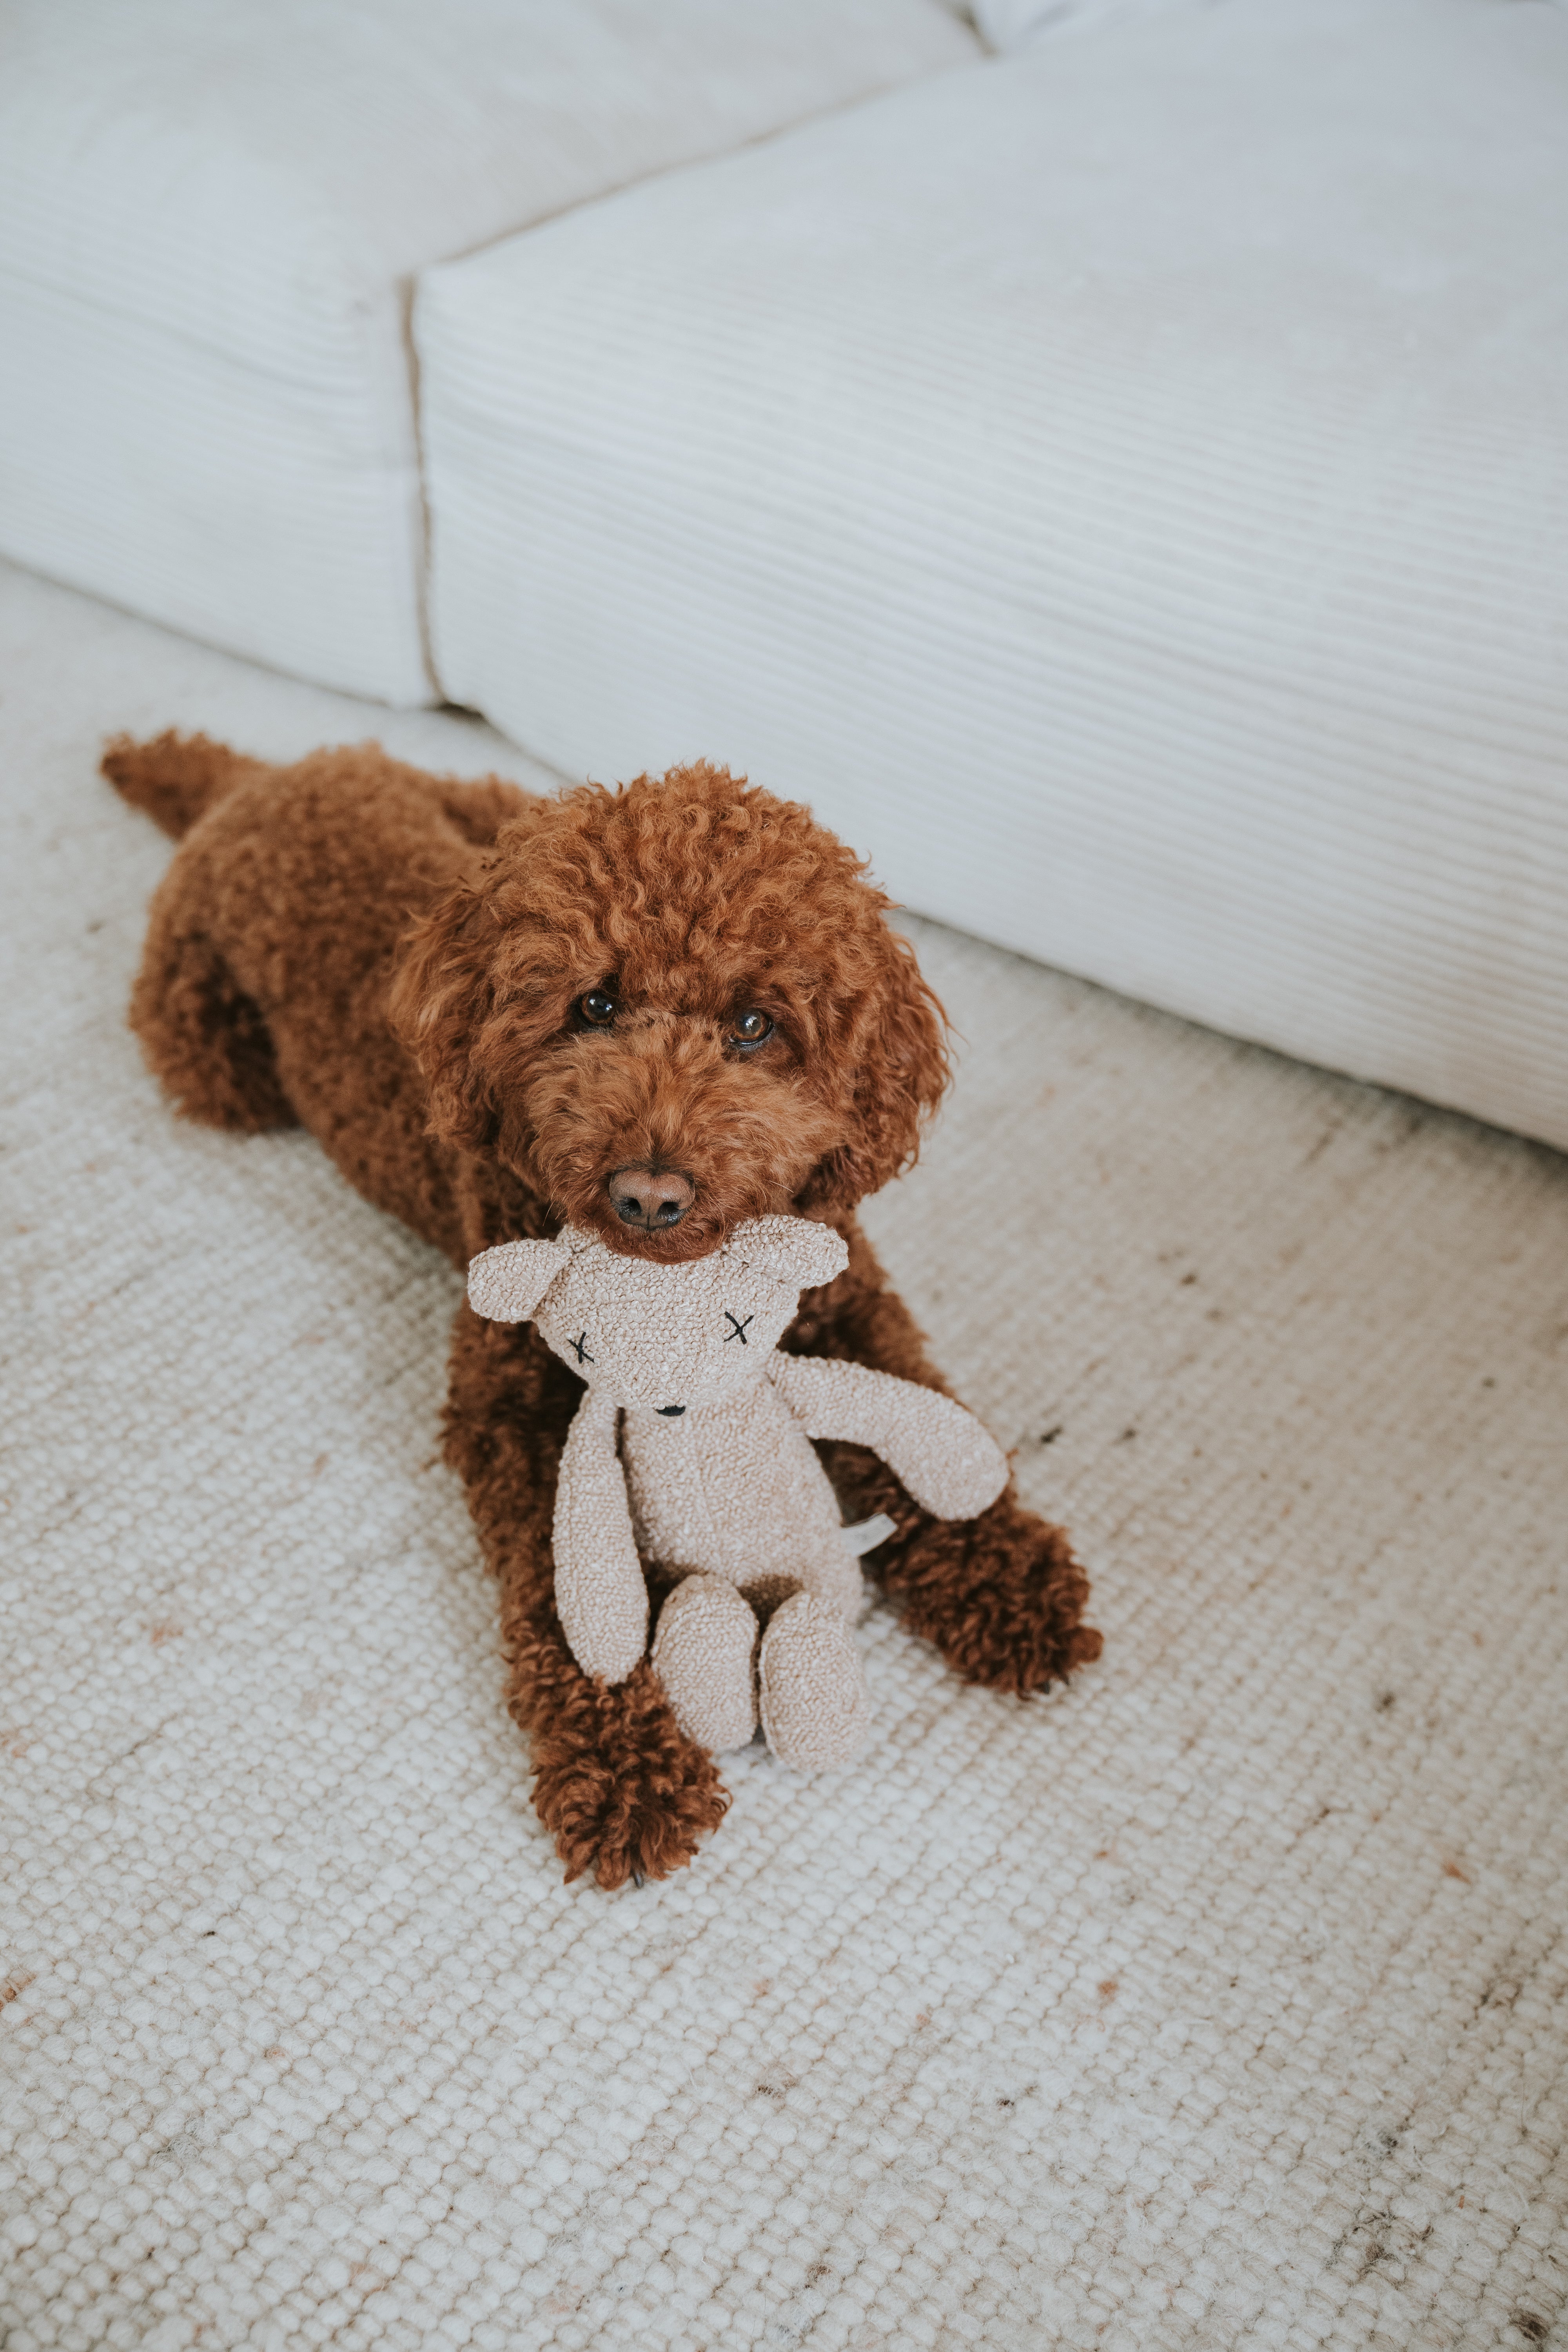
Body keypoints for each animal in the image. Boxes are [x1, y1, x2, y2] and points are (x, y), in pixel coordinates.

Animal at [104, 739, 1105, 1891]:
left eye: (755, 1025)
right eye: (592, 1007)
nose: (649, 1195)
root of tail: (263, 780)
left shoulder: (841, 1298)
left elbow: (917, 1414)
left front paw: (1010, 1580)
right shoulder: (518, 1415)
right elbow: (569, 1589)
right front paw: (625, 1772)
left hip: (493, 806)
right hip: (214, 1056)